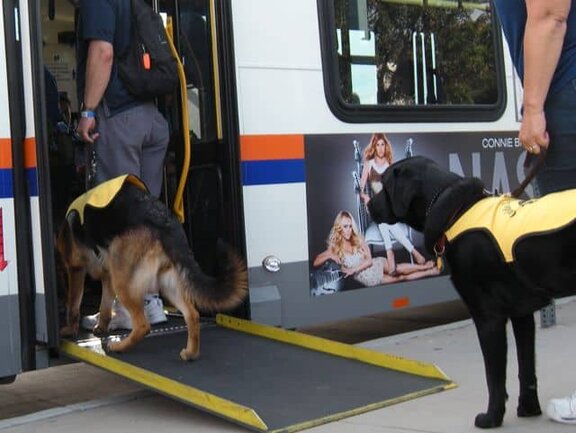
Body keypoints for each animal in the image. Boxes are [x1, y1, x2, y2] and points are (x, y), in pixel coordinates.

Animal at [56, 174, 248, 360]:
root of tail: (165, 224)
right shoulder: (107, 276)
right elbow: (105, 306)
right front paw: (101, 326)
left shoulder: (75, 269)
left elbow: (74, 305)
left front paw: (70, 330)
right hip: (166, 283)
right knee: (192, 315)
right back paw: (191, 353)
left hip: (124, 282)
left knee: (142, 325)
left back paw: (120, 347)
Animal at [366, 155, 576, 426]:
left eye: (385, 185)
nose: (368, 205)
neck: (456, 212)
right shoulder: (522, 313)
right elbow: (526, 367)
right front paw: (528, 408)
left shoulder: (487, 316)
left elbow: (494, 376)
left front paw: (492, 417)